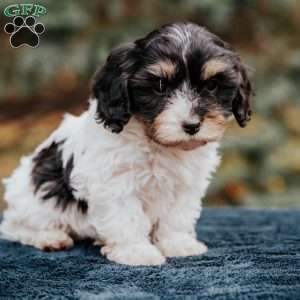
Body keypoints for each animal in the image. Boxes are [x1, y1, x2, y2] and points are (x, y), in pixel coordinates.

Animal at [0, 22, 251, 264]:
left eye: (212, 86)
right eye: (159, 86)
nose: (192, 125)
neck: (158, 144)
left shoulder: (185, 185)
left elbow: (176, 216)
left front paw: (178, 244)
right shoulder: (115, 182)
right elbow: (127, 218)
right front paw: (136, 252)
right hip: (33, 201)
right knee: (13, 226)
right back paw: (49, 237)